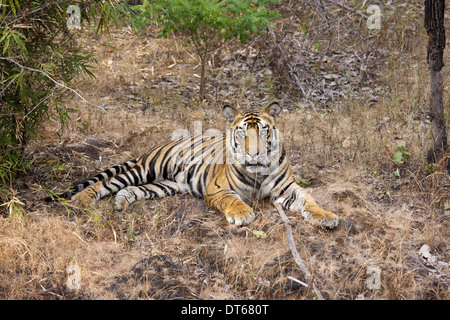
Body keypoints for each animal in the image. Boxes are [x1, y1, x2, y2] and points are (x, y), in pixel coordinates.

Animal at [45, 102, 340, 228]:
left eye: (264, 131)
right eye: (242, 132)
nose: (253, 154)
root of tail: (156, 146)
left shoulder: (288, 188)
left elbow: (310, 199)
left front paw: (326, 216)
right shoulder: (217, 189)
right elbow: (234, 201)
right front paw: (243, 214)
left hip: (164, 185)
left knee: (129, 190)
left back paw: (120, 203)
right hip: (145, 169)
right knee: (107, 183)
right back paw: (82, 201)